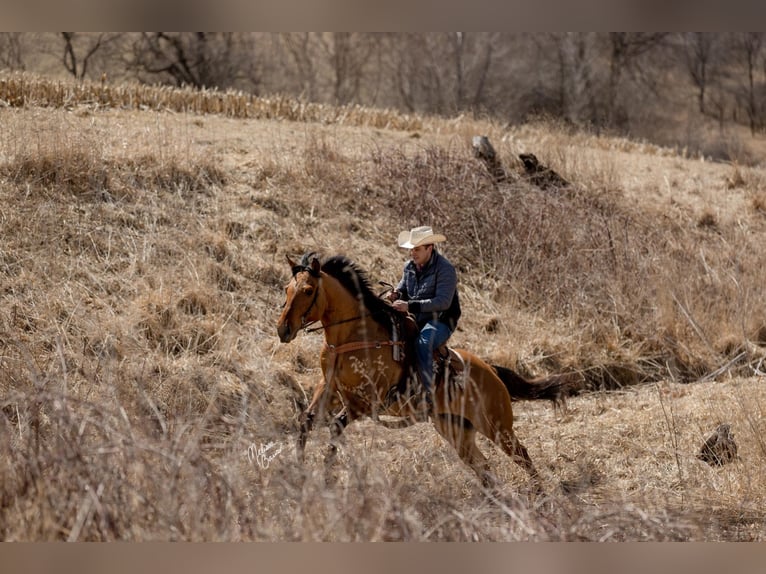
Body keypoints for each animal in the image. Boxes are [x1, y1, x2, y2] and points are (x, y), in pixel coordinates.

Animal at [278, 252, 576, 490]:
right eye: (286, 289)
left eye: (308, 290)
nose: (283, 330)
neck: (353, 335)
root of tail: (492, 371)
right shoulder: (329, 388)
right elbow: (304, 421)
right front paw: (298, 473)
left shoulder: (364, 401)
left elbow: (336, 427)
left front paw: (326, 478)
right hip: (455, 430)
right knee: (483, 466)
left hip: (497, 427)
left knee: (521, 455)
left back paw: (539, 498)